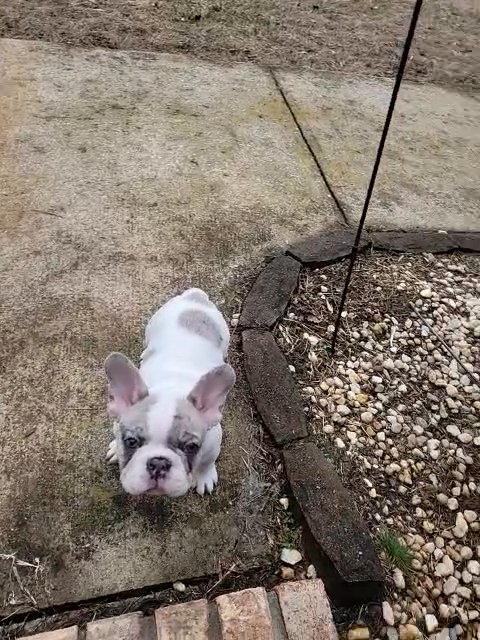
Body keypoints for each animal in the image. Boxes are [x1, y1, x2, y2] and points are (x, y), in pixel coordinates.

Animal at [104, 288, 235, 498]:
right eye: (131, 441)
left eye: (191, 447)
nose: (158, 463)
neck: (171, 386)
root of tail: (195, 297)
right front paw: (117, 449)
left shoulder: (213, 442)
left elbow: (207, 461)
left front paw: (204, 477)